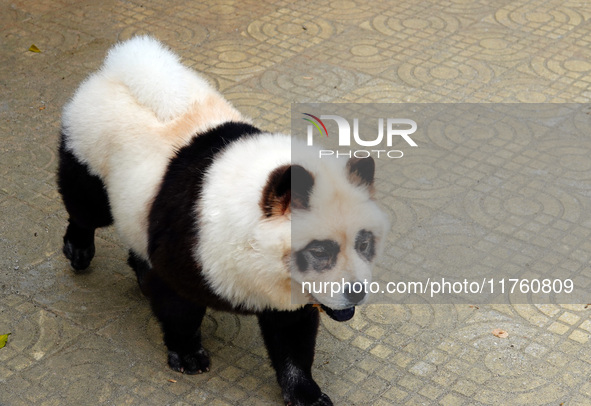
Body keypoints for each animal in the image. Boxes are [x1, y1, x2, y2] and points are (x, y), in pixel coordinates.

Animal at [55, 35, 388, 406]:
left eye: (364, 244)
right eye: (320, 251)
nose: (355, 293)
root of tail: (117, 68)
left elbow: (292, 333)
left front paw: (304, 391)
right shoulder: (194, 239)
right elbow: (178, 303)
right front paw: (187, 354)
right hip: (90, 150)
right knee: (86, 205)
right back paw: (79, 248)